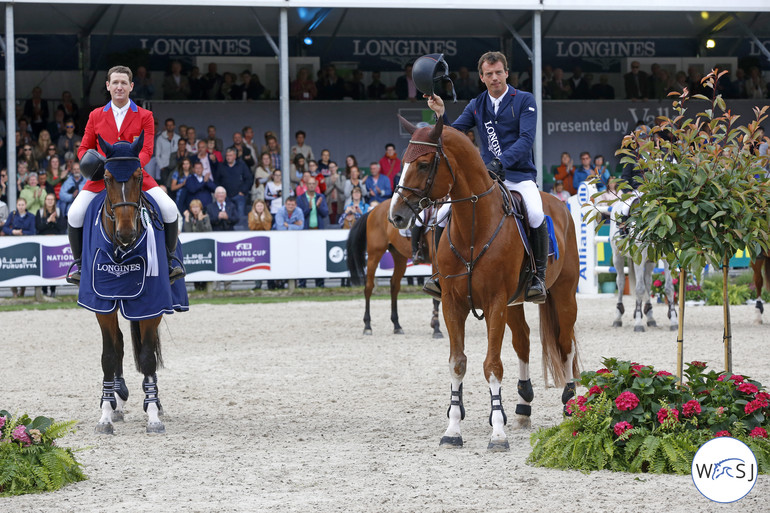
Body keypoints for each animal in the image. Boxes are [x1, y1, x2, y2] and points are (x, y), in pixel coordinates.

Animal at [73, 134, 188, 434]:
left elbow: (147, 357)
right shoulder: (102, 303)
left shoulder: (150, 305)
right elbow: (109, 355)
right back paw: (117, 399)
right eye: (106, 177)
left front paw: (153, 414)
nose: (126, 232)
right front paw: (105, 414)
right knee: (120, 345)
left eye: (139, 176)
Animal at [344, 198, 440, 338]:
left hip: (399, 256)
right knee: (369, 287)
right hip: (374, 254)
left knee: (394, 286)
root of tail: (374, 209)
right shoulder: (436, 262)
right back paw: (367, 326)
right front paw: (436, 328)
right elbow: (437, 296)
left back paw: (397, 325)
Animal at [388, 115, 580, 448]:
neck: (474, 226)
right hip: (515, 303)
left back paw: (569, 402)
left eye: (424, 164)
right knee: (523, 341)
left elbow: (492, 365)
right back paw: (523, 405)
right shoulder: (453, 303)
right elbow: (458, 363)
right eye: (403, 162)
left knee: (565, 343)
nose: (396, 216)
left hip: (563, 296)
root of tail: (559, 204)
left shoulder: (495, 303)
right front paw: (453, 429)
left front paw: (498, 433)